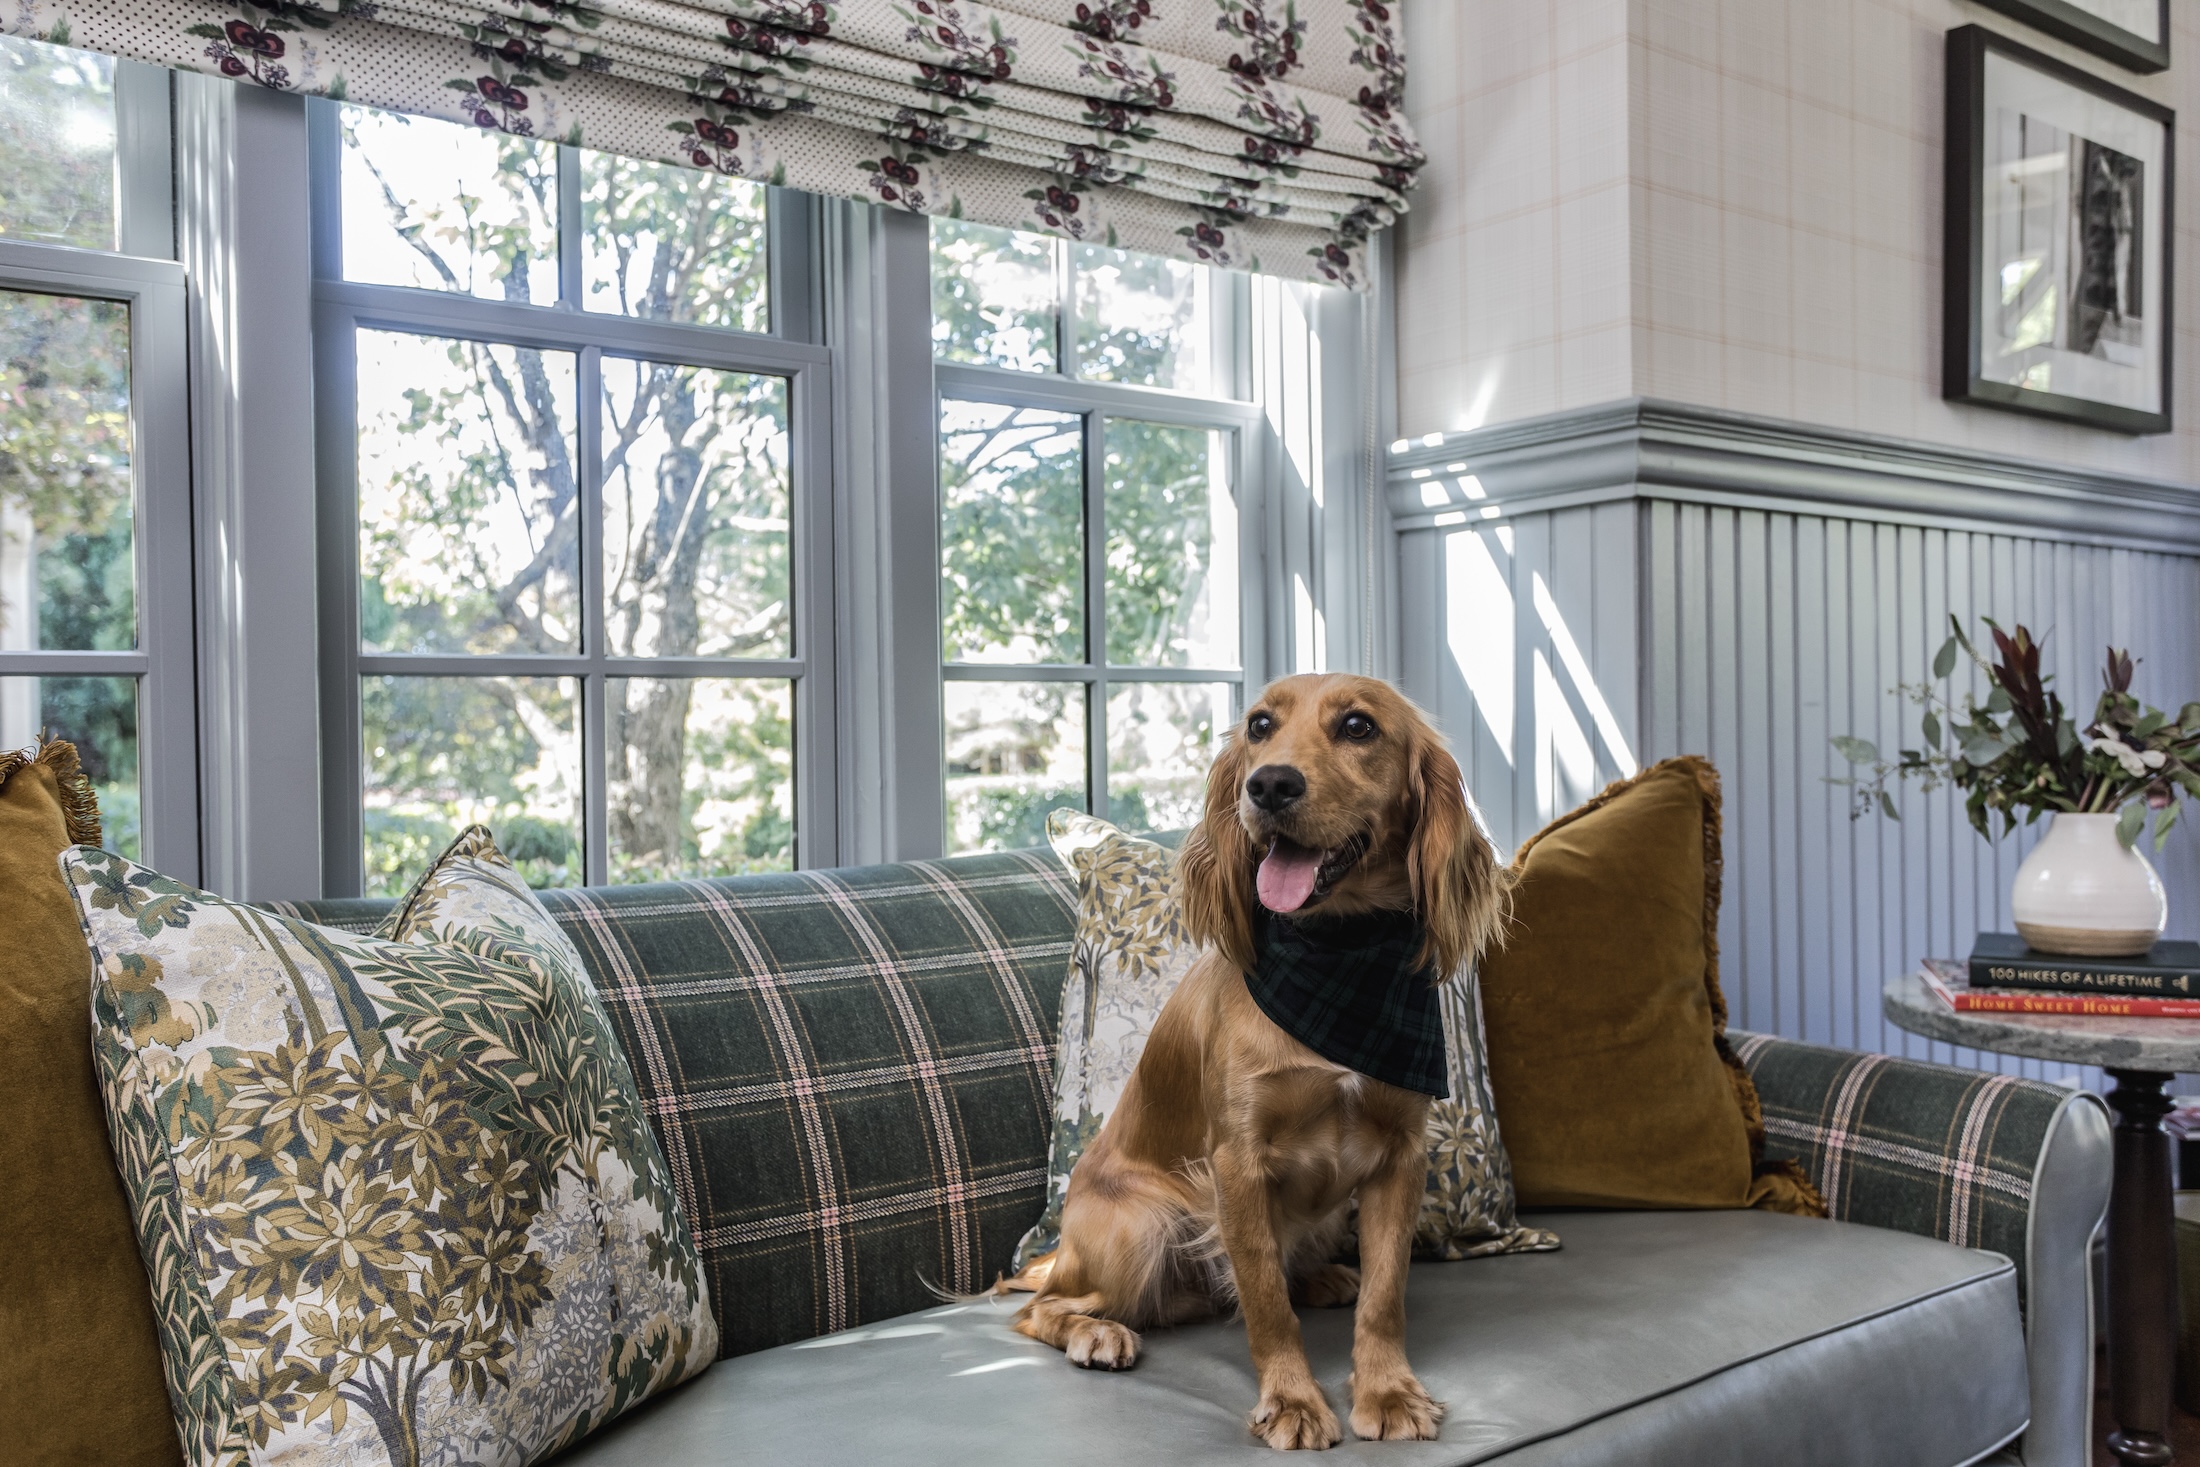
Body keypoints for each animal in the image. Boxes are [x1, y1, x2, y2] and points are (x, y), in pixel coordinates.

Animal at [1012, 673, 1513, 1451]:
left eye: (1359, 726)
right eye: (1259, 725)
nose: (1270, 784)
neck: (1337, 952)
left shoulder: (1399, 1157)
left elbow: (1385, 1293)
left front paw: (1388, 1388)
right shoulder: (1237, 1162)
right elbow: (1265, 1302)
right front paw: (1294, 1401)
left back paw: (1322, 1278)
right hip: (1140, 1227)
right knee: (1042, 1308)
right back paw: (1095, 1333)